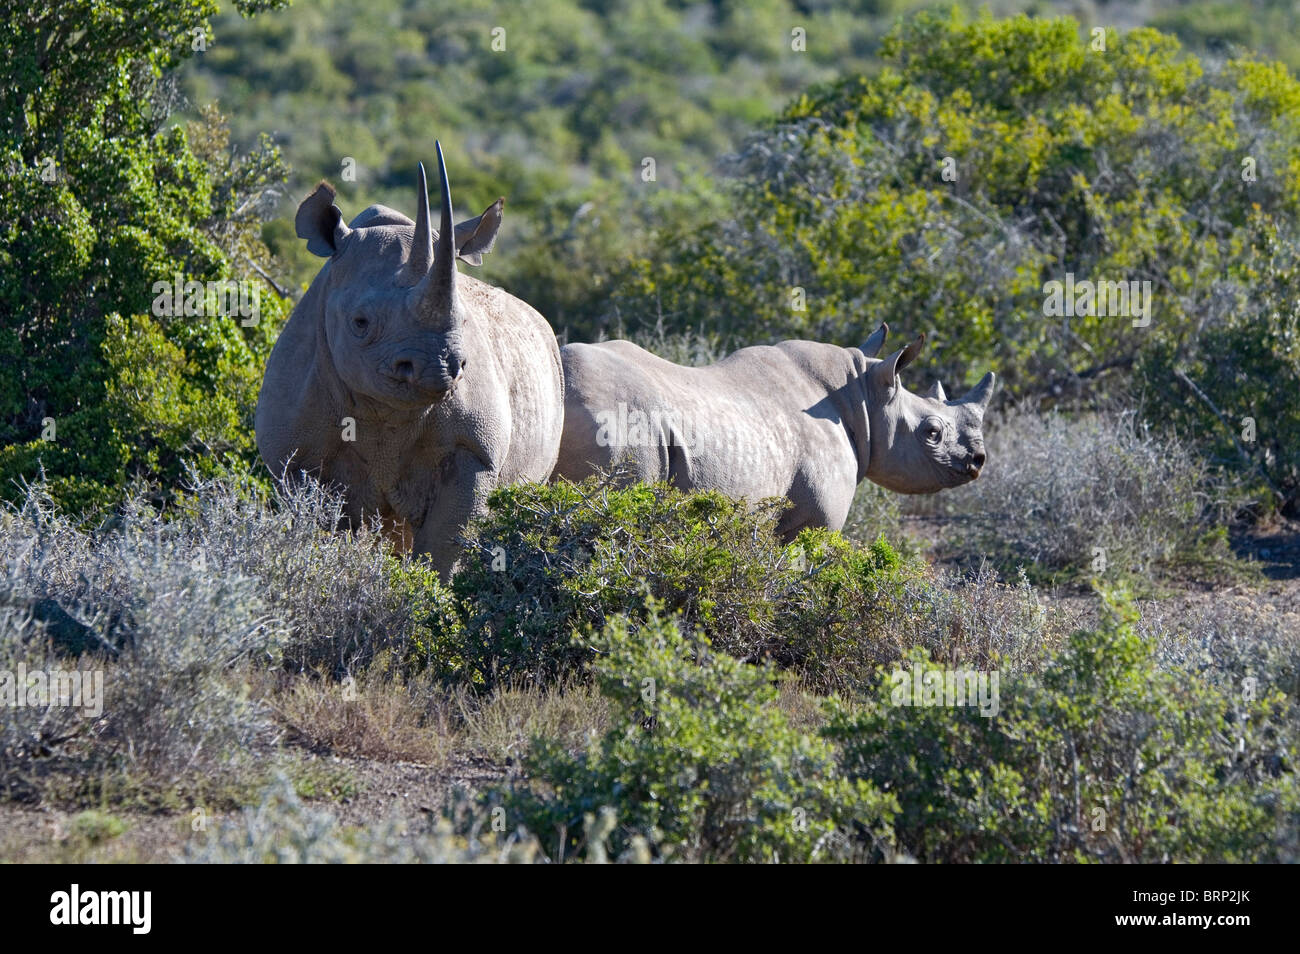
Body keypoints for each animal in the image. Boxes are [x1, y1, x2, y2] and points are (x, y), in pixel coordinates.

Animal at [257, 141, 564, 574]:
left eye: (464, 320)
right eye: (360, 323)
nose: (437, 367)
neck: (384, 411)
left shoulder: (474, 452)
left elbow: (444, 550)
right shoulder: (295, 456)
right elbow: (316, 533)